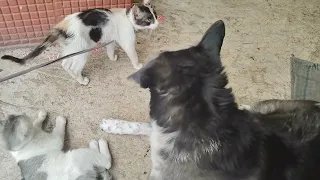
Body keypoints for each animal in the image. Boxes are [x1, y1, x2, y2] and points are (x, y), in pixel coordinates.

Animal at [0, 0, 159, 85]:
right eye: (149, 20)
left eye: (156, 16)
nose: (157, 24)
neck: (128, 18)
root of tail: (61, 26)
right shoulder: (128, 42)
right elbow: (133, 55)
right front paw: (138, 65)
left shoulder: (110, 39)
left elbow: (110, 49)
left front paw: (112, 58)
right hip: (81, 51)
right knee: (74, 67)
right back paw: (82, 81)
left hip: (72, 50)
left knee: (65, 64)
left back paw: (73, 76)